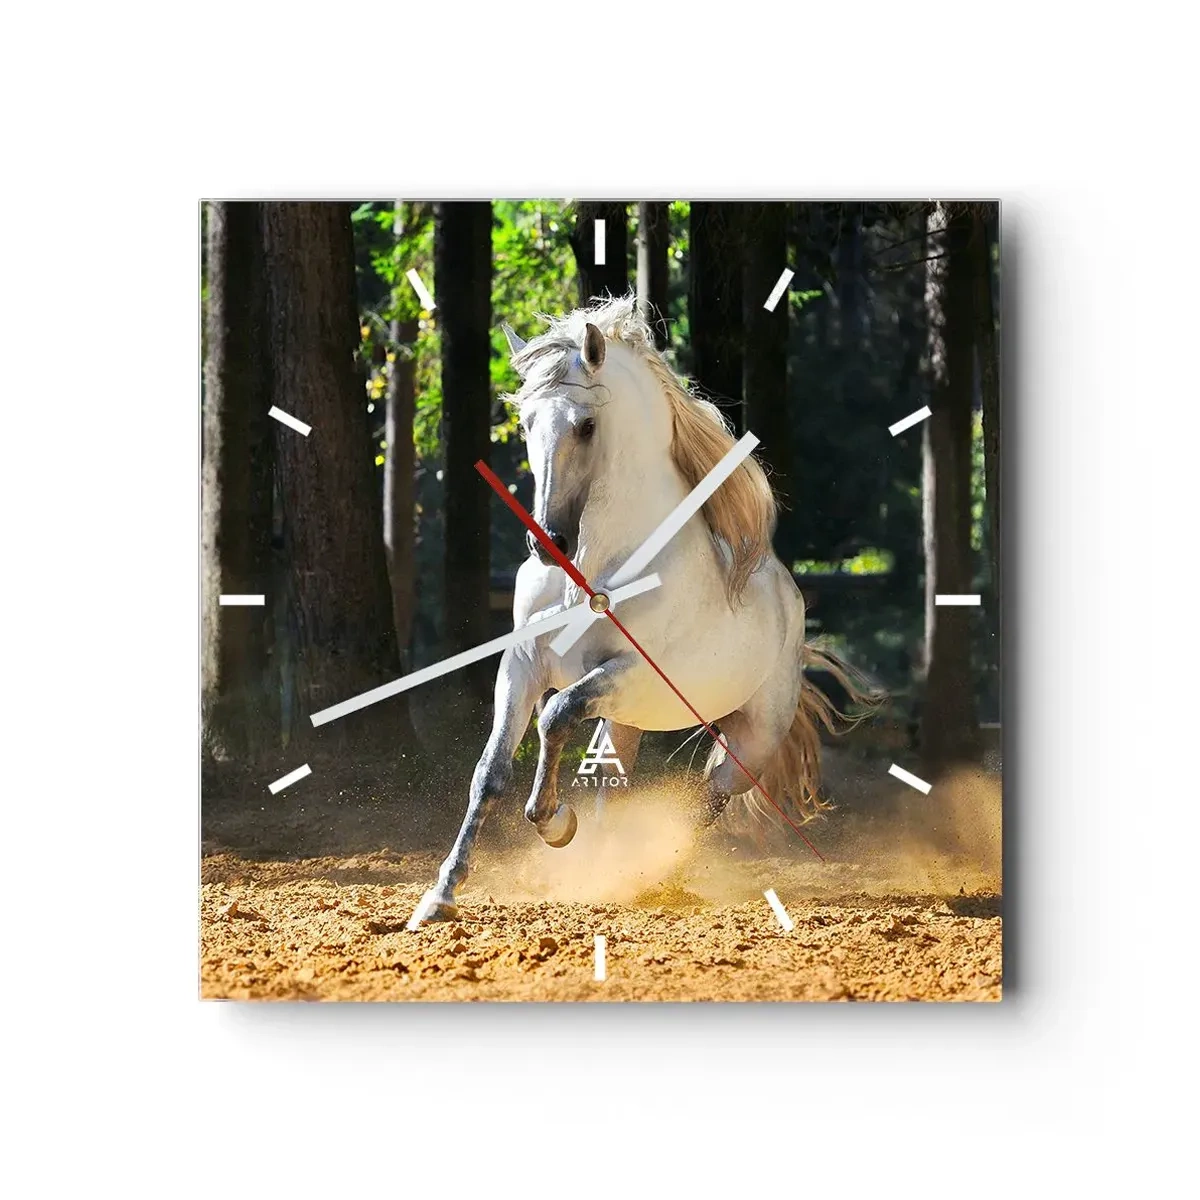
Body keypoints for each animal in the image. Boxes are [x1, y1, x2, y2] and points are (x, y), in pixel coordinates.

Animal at [409, 295, 869, 927]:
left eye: (586, 425)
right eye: (526, 423)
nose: (547, 541)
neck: (592, 570)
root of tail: (791, 605)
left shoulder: (627, 674)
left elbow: (555, 719)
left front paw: (554, 823)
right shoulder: (523, 666)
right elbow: (489, 773)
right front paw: (440, 895)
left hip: (748, 739)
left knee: (709, 796)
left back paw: (646, 875)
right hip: (626, 719)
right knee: (613, 781)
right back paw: (602, 870)